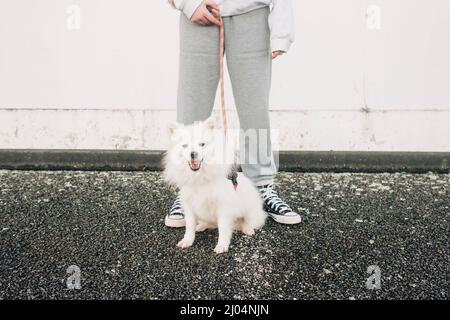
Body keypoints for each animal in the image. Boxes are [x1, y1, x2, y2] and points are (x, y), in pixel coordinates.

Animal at [163, 116, 266, 254]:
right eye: (185, 146)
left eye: (202, 144)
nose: (193, 154)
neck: (200, 177)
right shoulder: (189, 206)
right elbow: (189, 226)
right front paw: (187, 240)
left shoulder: (223, 207)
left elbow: (223, 228)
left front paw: (222, 245)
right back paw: (201, 226)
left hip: (250, 209)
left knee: (248, 221)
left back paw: (248, 229)